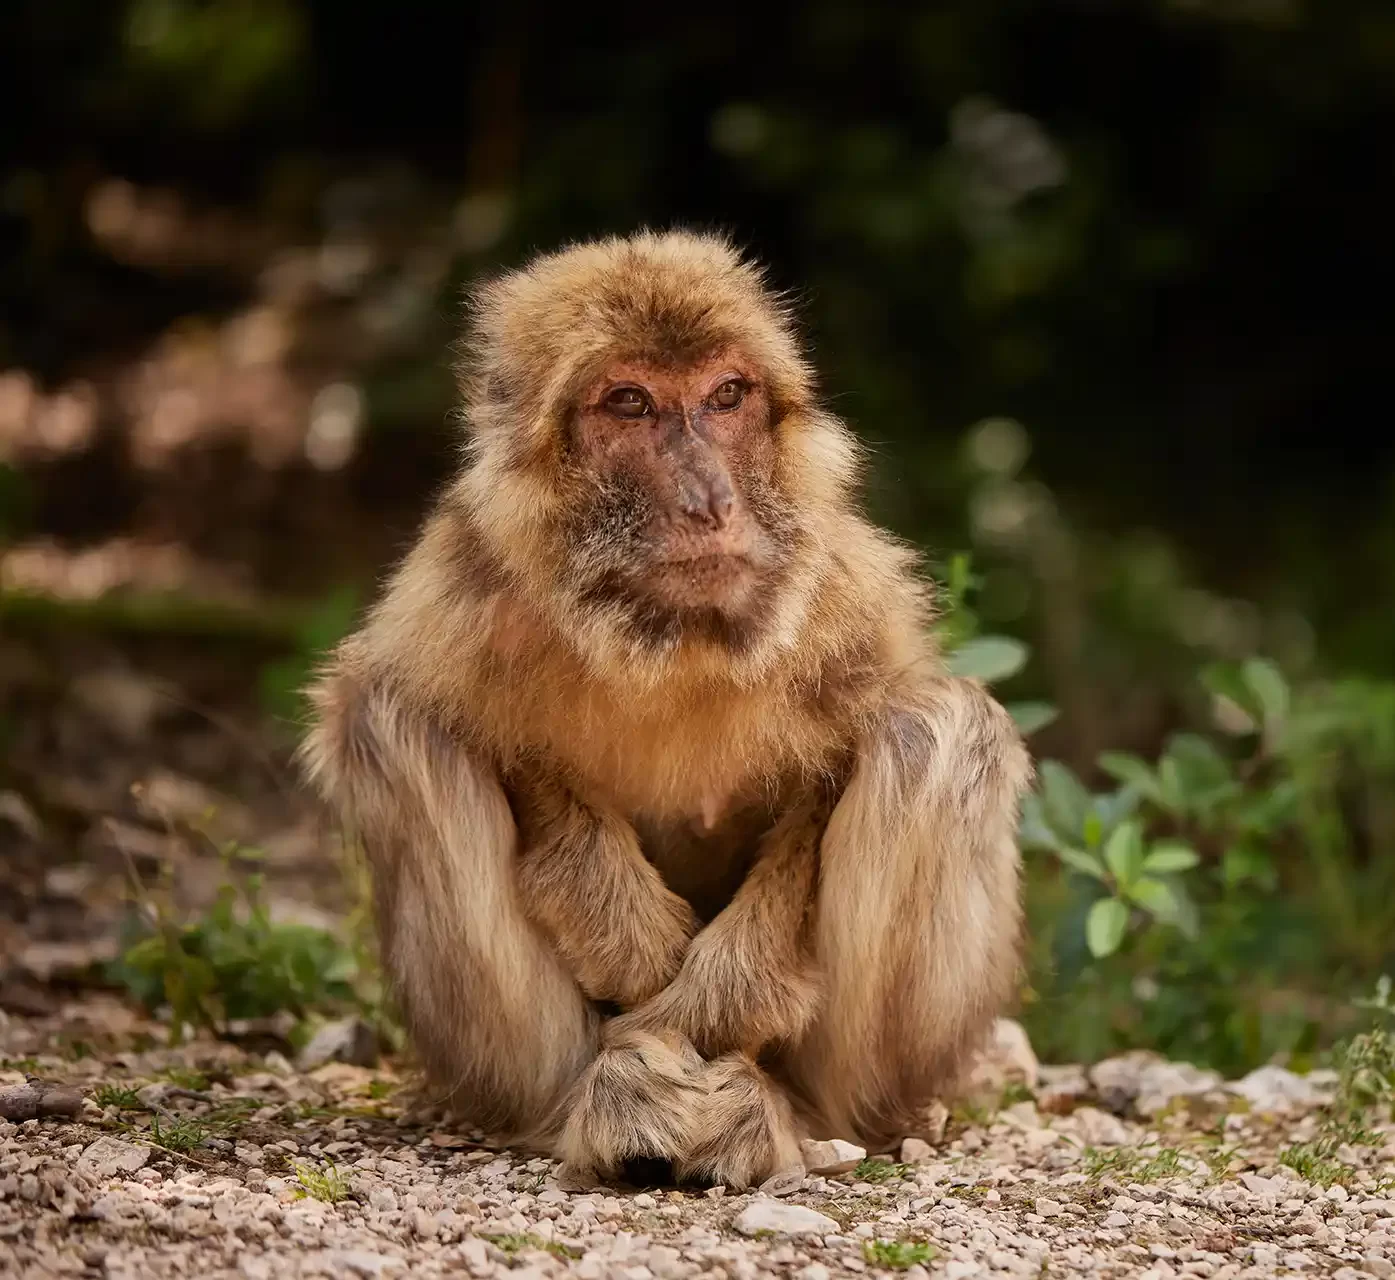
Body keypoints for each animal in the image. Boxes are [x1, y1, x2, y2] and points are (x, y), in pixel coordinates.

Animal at [299, 228, 1032, 1193]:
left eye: (725, 397)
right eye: (630, 403)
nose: (710, 500)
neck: (666, 635)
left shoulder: (842, 592)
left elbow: (831, 778)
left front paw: (717, 1003)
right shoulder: (459, 589)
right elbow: (475, 729)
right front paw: (635, 955)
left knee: (937, 729)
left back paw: (779, 1115)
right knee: (392, 723)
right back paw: (599, 1105)